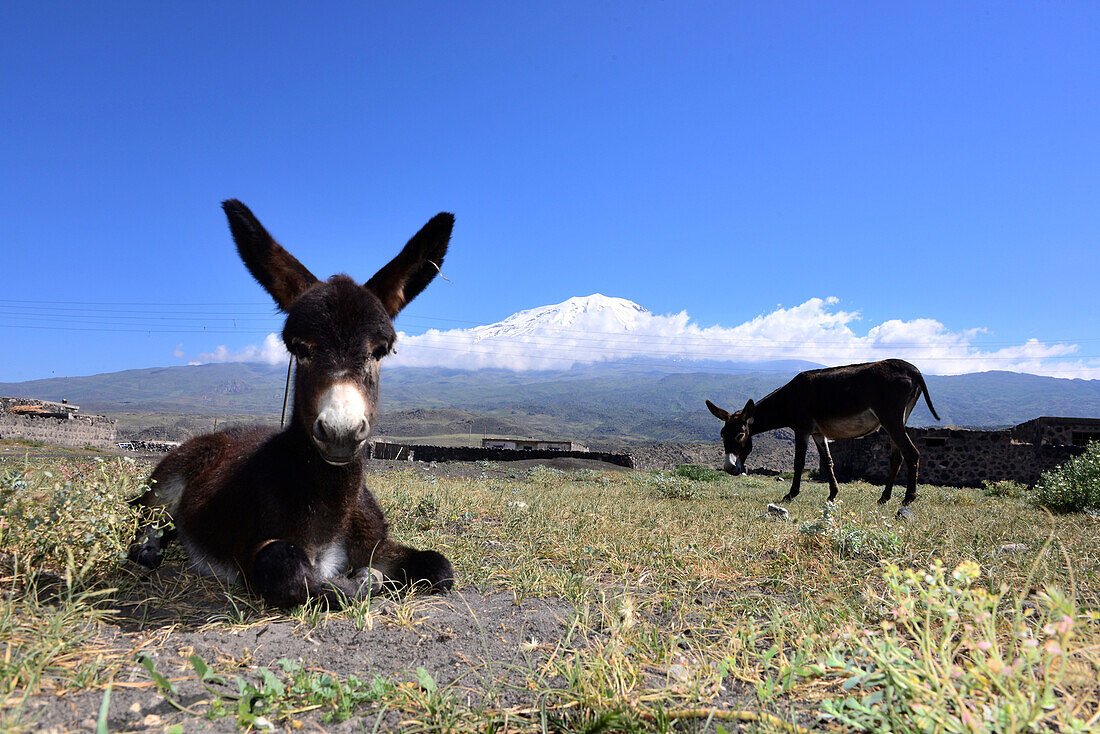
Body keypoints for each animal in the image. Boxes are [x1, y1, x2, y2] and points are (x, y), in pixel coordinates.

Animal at [129, 201, 455, 607]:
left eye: (380, 351)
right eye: (298, 348)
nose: (340, 432)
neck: (331, 508)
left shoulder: (379, 544)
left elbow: (440, 568)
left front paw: (372, 576)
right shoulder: (257, 548)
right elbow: (290, 572)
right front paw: (361, 582)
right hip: (166, 479)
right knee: (144, 516)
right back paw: (149, 548)